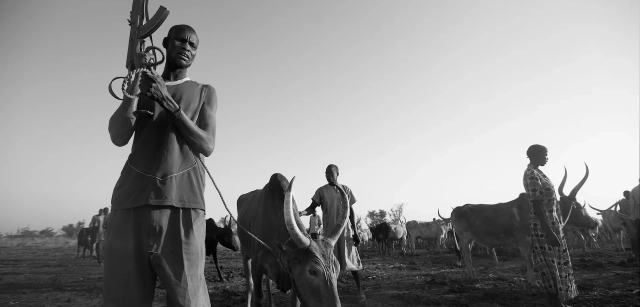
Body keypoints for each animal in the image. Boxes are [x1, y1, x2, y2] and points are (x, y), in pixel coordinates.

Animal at [239, 174, 352, 306]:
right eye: (312, 271)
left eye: (338, 268)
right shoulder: (256, 264)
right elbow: (258, 297)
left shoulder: (293, 274)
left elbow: (294, 301)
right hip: (244, 253)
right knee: (249, 285)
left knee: (268, 283)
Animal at [440, 165, 596, 286]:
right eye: (577, 206)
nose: (594, 222)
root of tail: (457, 209)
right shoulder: (524, 241)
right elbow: (530, 261)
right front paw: (534, 282)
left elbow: (529, 261)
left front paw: (528, 280)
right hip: (464, 238)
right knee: (467, 256)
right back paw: (474, 277)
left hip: (470, 240)